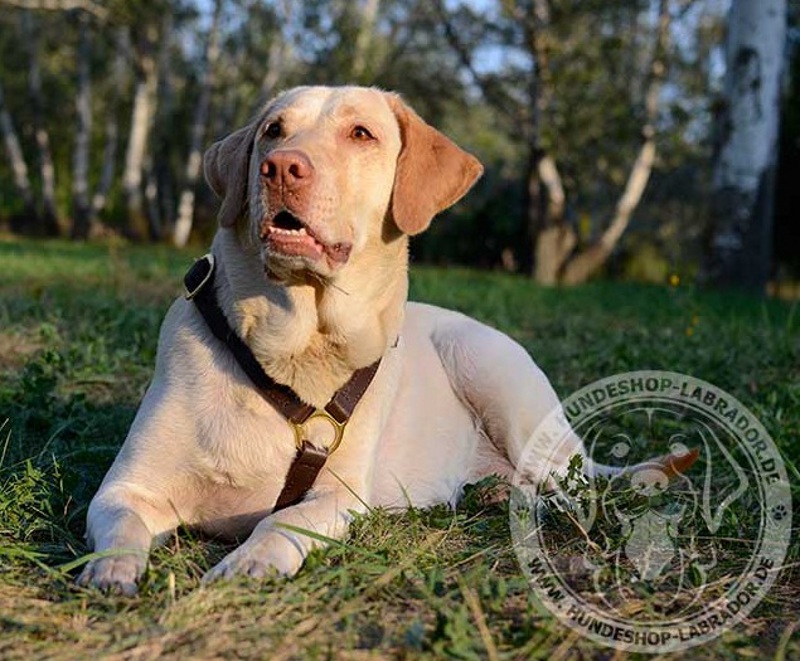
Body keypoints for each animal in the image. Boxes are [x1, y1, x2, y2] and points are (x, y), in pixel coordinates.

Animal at [75, 86, 624, 592]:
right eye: (273, 130)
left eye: (361, 134)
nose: (281, 167)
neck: (295, 349)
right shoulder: (126, 487)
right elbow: (122, 525)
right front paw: (111, 570)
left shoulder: (339, 494)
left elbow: (283, 520)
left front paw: (250, 562)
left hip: (494, 373)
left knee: (577, 488)